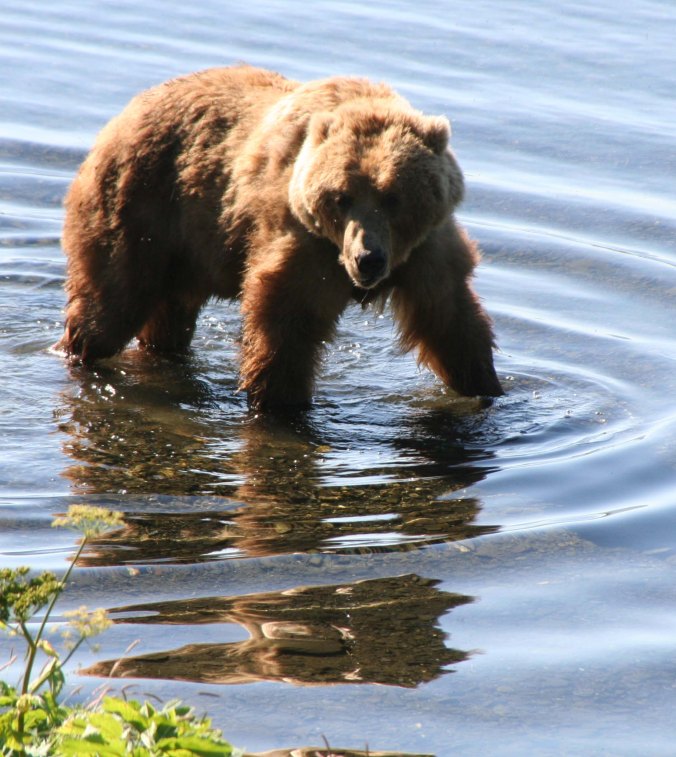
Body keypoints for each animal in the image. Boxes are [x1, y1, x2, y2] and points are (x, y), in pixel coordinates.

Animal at [57, 65, 503, 409]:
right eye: (342, 197)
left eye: (393, 196)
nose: (368, 258)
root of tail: (125, 112)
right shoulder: (303, 244)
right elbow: (285, 327)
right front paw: (281, 404)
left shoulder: (426, 252)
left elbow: (451, 322)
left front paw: (488, 387)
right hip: (139, 206)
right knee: (110, 304)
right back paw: (78, 350)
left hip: (182, 246)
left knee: (167, 319)